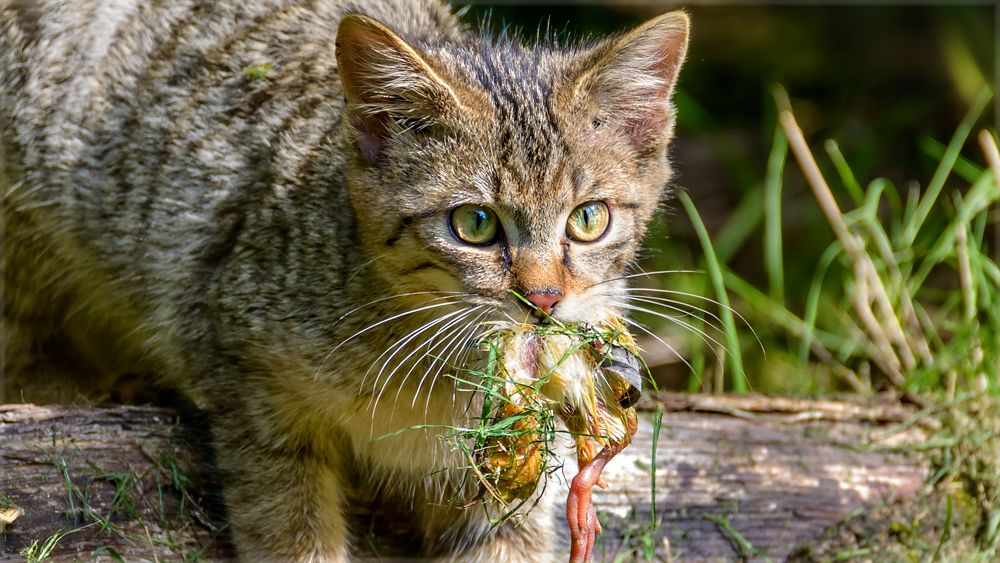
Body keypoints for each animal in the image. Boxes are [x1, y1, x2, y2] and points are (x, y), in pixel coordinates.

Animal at [0, 0, 688, 560]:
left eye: (589, 219)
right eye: (474, 223)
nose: (543, 300)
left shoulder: (503, 484)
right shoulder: (247, 377)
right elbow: (290, 528)